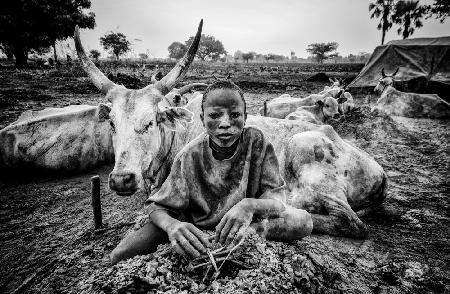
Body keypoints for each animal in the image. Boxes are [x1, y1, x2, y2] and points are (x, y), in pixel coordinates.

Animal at [74, 20, 386, 239]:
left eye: (151, 121)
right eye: (112, 123)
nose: (121, 179)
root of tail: (379, 171)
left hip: (307, 154)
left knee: (351, 223)